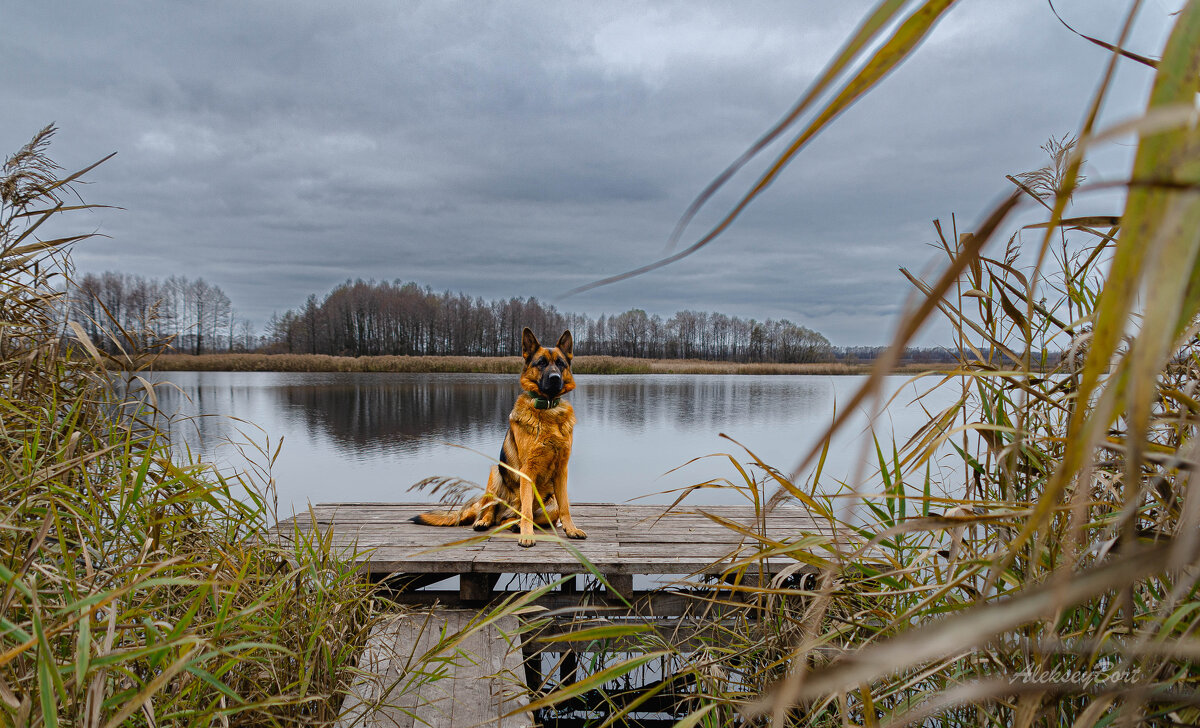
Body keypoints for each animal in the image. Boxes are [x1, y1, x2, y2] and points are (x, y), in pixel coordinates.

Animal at [412, 328, 585, 546]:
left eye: (561, 364)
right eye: (541, 363)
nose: (554, 377)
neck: (547, 410)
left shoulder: (562, 471)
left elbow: (565, 507)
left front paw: (571, 529)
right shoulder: (527, 471)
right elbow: (527, 510)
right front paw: (527, 535)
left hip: (549, 505)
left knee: (510, 518)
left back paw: (515, 525)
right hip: (495, 474)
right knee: (491, 512)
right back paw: (485, 522)